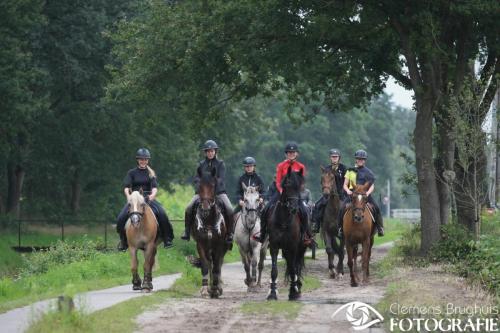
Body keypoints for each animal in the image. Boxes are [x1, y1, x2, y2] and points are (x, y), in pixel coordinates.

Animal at [190, 167, 229, 296]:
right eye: (199, 185)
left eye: (213, 185)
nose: (206, 207)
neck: (208, 220)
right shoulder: (201, 245)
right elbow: (205, 265)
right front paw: (205, 289)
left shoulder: (220, 245)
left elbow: (217, 266)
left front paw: (216, 288)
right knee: (210, 263)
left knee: (218, 264)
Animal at [268, 165, 306, 300]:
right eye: (287, 185)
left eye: (301, 186)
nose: (294, 208)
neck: (284, 220)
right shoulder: (274, 246)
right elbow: (274, 271)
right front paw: (272, 293)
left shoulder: (293, 247)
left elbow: (293, 269)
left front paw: (293, 293)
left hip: (299, 248)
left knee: (295, 267)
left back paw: (296, 288)